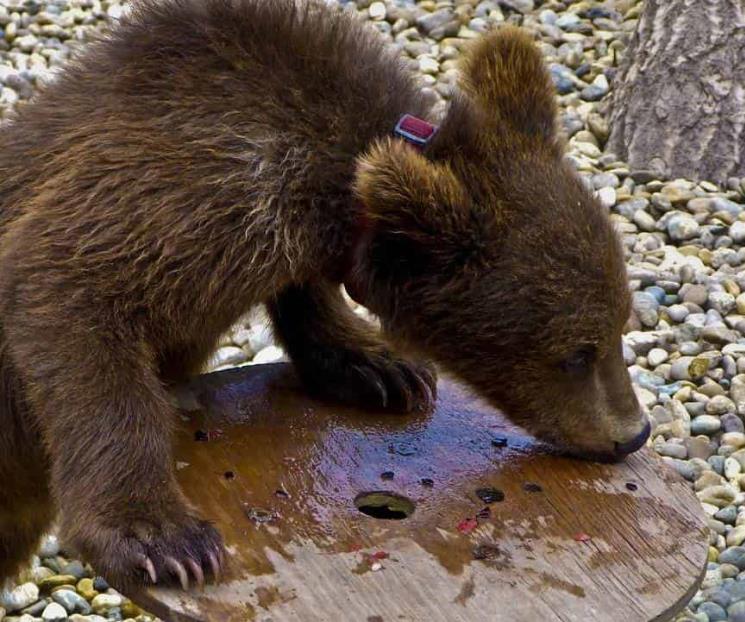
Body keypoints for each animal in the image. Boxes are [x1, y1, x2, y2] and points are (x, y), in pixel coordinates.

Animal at [0, 0, 650, 589]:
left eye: (621, 322)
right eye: (576, 353)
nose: (633, 432)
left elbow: (308, 299)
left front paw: (382, 368)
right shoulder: (182, 189)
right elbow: (70, 296)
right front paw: (163, 539)